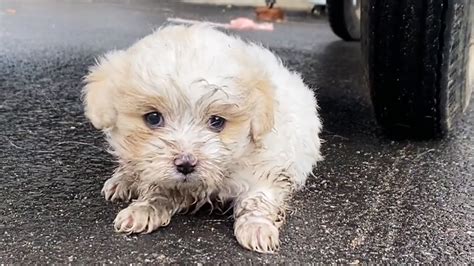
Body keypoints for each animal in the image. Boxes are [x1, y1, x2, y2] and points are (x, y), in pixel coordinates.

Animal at [83, 25, 324, 254]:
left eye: (217, 121)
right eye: (153, 118)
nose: (186, 164)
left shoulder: (268, 166)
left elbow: (258, 197)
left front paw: (257, 228)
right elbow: (157, 188)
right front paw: (142, 209)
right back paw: (122, 180)